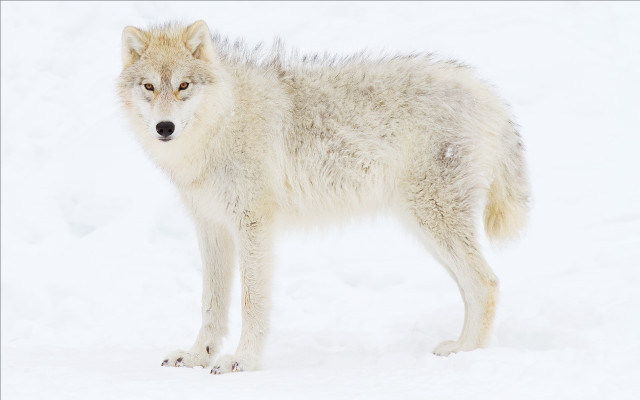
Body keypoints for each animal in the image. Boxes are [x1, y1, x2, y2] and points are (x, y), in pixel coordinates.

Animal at [117, 20, 530, 374]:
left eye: (184, 85)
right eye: (149, 87)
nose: (165, 127)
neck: (221, 124)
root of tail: (487, 92)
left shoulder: (253, 225)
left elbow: (252, 302)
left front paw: (243, 361)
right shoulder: (212, 228)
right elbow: (210, 304)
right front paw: (197, 358)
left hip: (434, 221)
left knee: (486, 283)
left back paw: (465, 355)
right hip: (426, 230)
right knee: (474, 287)